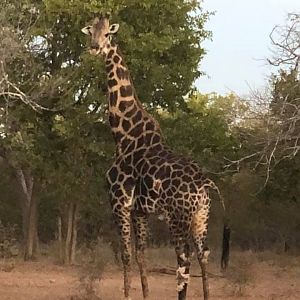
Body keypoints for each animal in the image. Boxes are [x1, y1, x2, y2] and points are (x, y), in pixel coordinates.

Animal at [81, 14, 229, 300]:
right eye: (91, 31)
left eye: (107, 34)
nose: (94, 47)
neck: (123, 134)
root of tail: (205, 183)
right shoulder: (139, 211)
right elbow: (141, 256)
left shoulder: (118, 203)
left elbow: (126, 256)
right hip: (201, 216)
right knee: (203, 255)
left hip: (179, 217)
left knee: (183, 263)